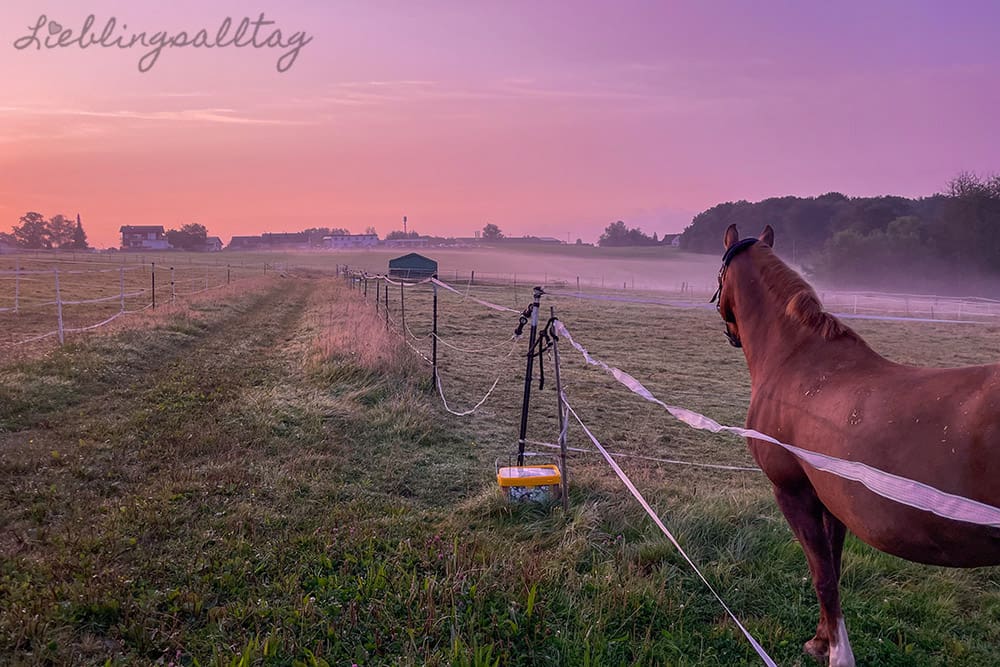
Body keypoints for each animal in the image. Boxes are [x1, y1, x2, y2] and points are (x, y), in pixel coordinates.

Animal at [712, 226, 1000, 667]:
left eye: (720, 274)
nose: (731, 335)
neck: (798, 361)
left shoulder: (793, 492)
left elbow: (823, 577)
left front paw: (836, 653)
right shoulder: (833, 499)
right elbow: (833, 565)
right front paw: (821, 640)